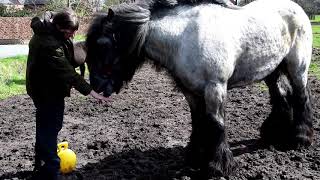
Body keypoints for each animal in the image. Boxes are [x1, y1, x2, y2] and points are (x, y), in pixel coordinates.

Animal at [84, 0, 312, 177]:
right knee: (281, 97)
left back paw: (300, 138)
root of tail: (297, 9)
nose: (95, 84)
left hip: (297, 68)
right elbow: (198, 123)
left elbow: (216, 124)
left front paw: (218, 166)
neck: (183, 38)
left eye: (103, 44)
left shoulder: (215, 88)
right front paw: (195, 157)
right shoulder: (191, 92)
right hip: (272, 70)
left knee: (301, 97)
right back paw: (273, 134)